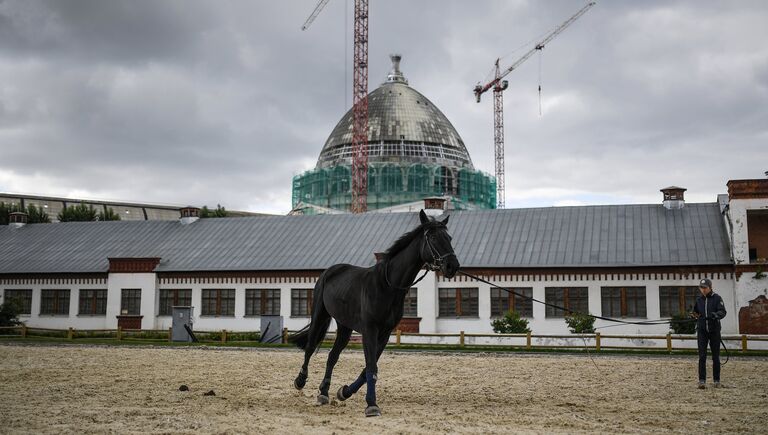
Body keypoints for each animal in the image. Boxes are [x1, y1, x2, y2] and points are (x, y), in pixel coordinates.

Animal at [288, 211, 456, 418]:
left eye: (449, 238)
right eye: (433, 237)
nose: (452, 266)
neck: (388, 285)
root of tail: (329, 271)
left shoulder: (384, 334)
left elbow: (368, 368)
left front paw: (344, 392)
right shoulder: (370, 330)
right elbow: (371, 366)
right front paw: (371, 405)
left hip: (345, 327)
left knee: (332, 356)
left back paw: (324, 393)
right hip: (320, 316)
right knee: (310, 347)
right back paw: (300, 381)